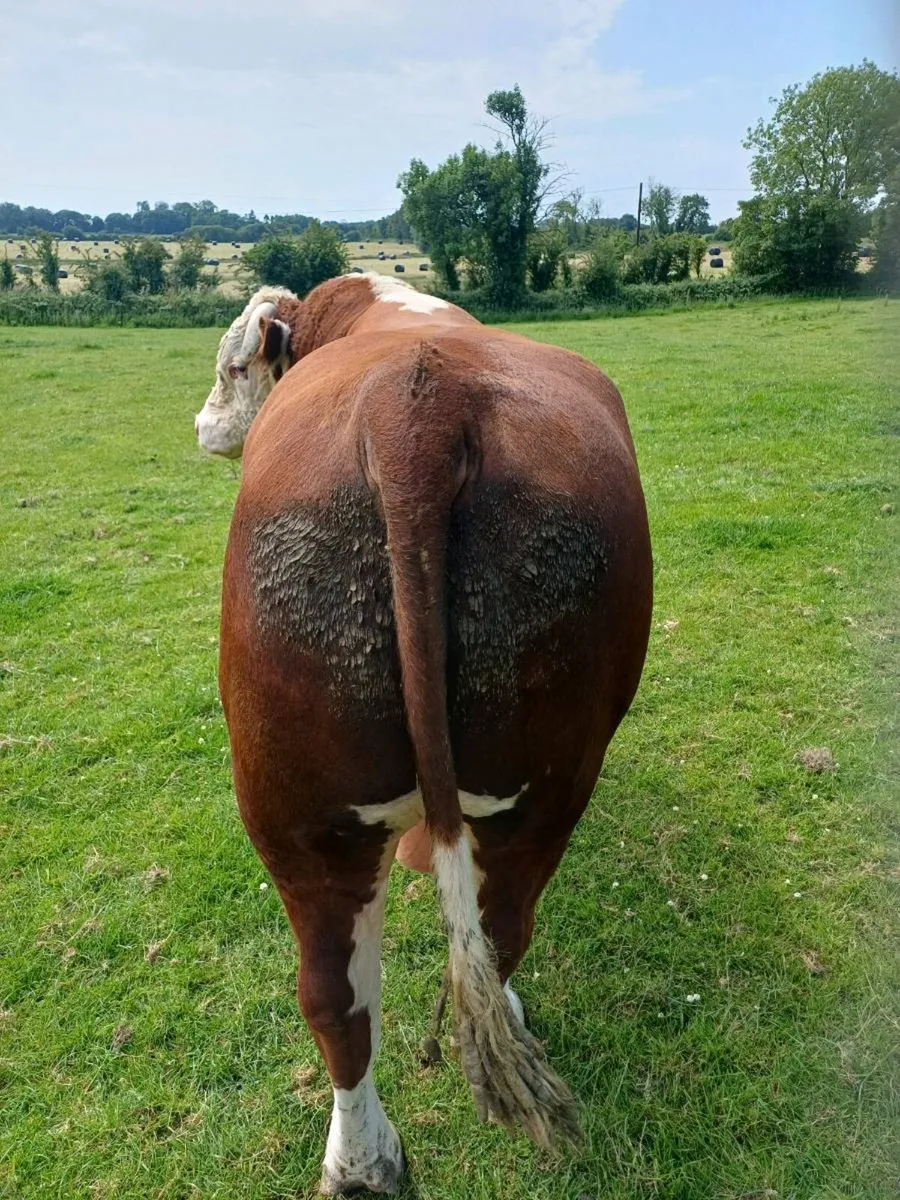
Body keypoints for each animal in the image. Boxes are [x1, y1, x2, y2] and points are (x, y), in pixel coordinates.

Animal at [194, 272, 652, 1193]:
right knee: (450, 950)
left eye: (231, 367)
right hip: (521, 792)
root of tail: (417, 413)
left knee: (346, 991)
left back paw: (360, 1157)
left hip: (305, 808)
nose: (200, 424)